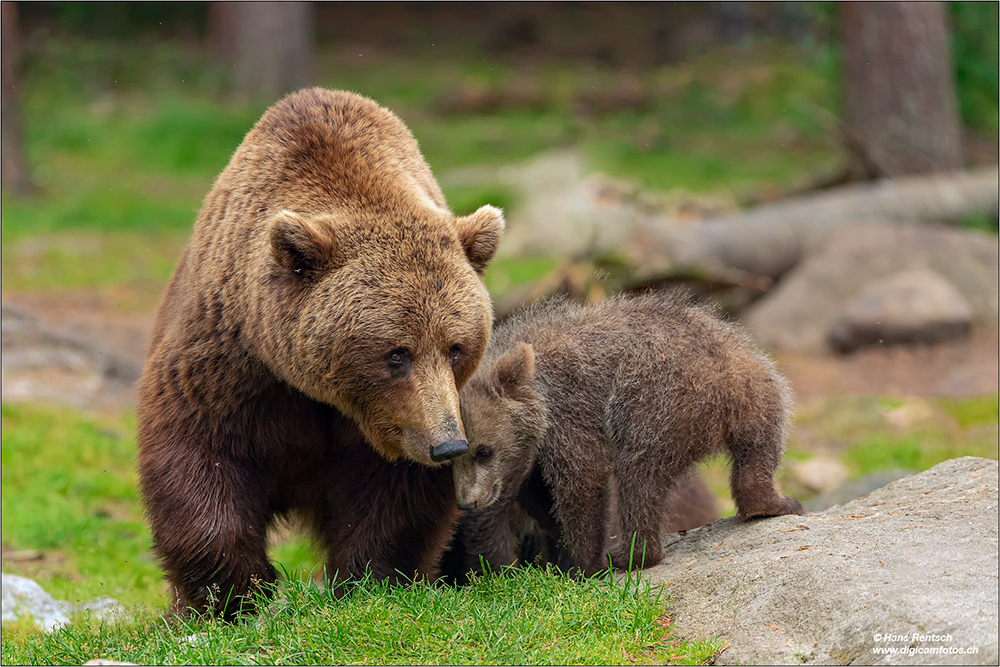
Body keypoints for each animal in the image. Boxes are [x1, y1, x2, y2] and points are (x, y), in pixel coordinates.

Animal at [137, 88, 504, 620]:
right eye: (397, 353)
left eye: (456, 348)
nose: (447, 446)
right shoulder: (231, 364)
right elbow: (201, 458)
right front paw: (237, 594)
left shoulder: (393, 422)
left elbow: (393, 496)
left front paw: (369, 580)